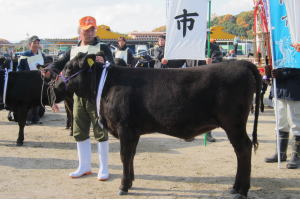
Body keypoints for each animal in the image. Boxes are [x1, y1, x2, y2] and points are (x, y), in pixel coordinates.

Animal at [54, 53, 262, 198]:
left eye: (68, 68)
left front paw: (123, 186)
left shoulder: (124, 128)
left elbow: (124, 156)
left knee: (243, 149)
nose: (54, 86)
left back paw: (241, 190)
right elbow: (131, 156)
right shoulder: (133, 131)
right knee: (241, 150)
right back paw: (235, 187)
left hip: (233, 123)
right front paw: (130, 181)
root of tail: (240, 63)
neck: (106, 86)